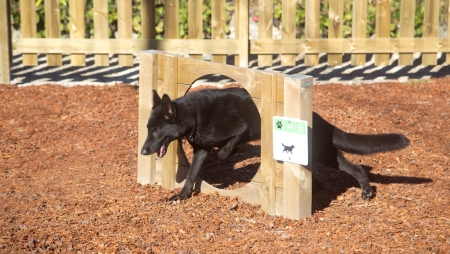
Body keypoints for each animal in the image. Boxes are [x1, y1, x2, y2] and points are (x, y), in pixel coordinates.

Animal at [142, 87, 410, 200]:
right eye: (147, 129)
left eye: (156, 130)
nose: (143, 151)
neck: (194, 115)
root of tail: (321, 120)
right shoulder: (200, 152)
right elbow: (190, 176)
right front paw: (181, 196)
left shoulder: (243, 129)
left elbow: (226, 149)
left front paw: (228, 153)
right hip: (327, 156)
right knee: (353, 168)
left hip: (321, 155)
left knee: (355, 168)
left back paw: (364, 191)